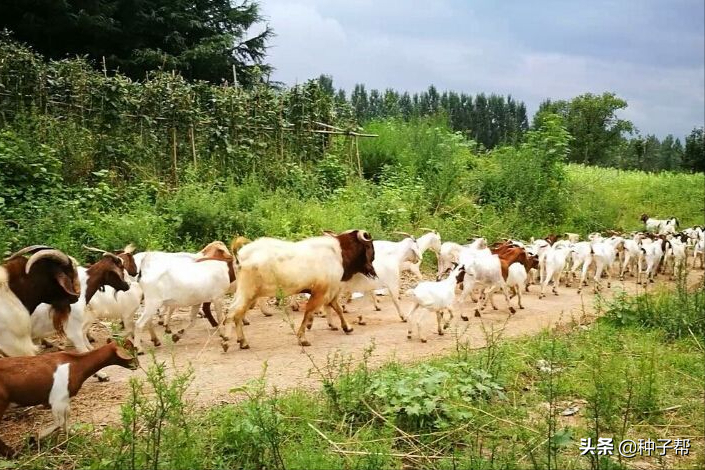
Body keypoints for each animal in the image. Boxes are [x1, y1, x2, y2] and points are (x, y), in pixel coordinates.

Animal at [0, 340, 138, 458]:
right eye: (130, 351)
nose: (137, 365)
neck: (77, 365)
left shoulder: (65, 399)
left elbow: (66, 418)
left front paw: (71, 433)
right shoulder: (57, 400)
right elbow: (59, 422)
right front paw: (35, 437)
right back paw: (11, 453)